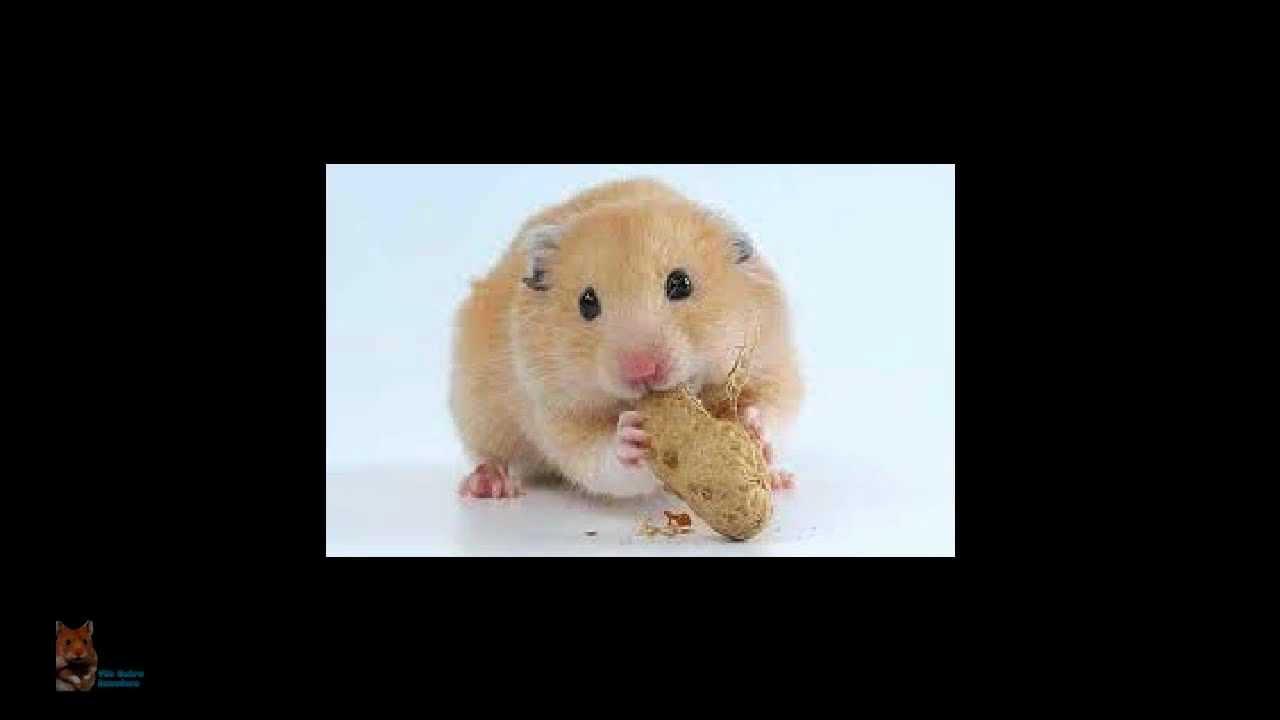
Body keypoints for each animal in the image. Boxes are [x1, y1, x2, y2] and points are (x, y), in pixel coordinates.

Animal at [450, 178, 802, 499]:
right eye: (587, 303)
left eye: (681, 283)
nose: (643, 371)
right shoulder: (555, 410)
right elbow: (597, 459)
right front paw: (632, 435)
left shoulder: (772, 361)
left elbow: (773, 409)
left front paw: (752, 424)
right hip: (477, 412)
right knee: (491, 454)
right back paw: (488, 484)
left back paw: (779, 480)